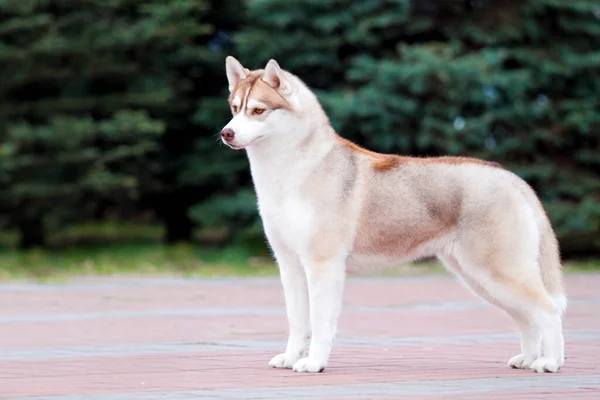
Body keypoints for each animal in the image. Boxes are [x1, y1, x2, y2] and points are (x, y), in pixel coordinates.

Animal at [220, 56, 568, 376]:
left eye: (258, 111)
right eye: (235, 107)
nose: (226, 133)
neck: (291, 172)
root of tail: (512, 178)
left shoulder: (323, 265)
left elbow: (319, 323)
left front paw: (315, 363)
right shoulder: (290, 265)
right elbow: (297, 322)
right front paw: (291, 358)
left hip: (499, 271)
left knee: (548, 311)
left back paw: (550, 362)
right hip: (481, 279)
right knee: (527, 318)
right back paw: (528, 359)